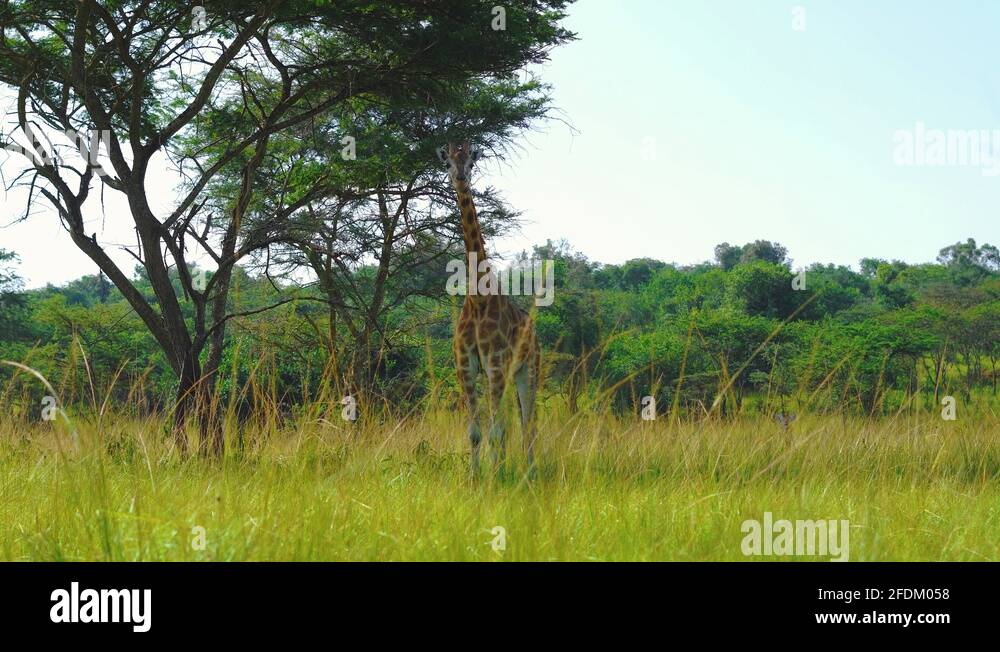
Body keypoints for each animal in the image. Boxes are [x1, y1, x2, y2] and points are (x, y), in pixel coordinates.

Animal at [437, 141, 540, 476]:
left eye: (471, 163)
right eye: (447, 163)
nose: (460, 178)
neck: (478, 298)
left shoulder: (495, 362)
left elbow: (495, 430)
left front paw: (495, 480)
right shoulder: (466, 363)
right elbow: (475, 432)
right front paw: (475, 478)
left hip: (528, 369)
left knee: (527, 422)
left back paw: (529, 472)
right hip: (502, 373)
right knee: (509, 423)